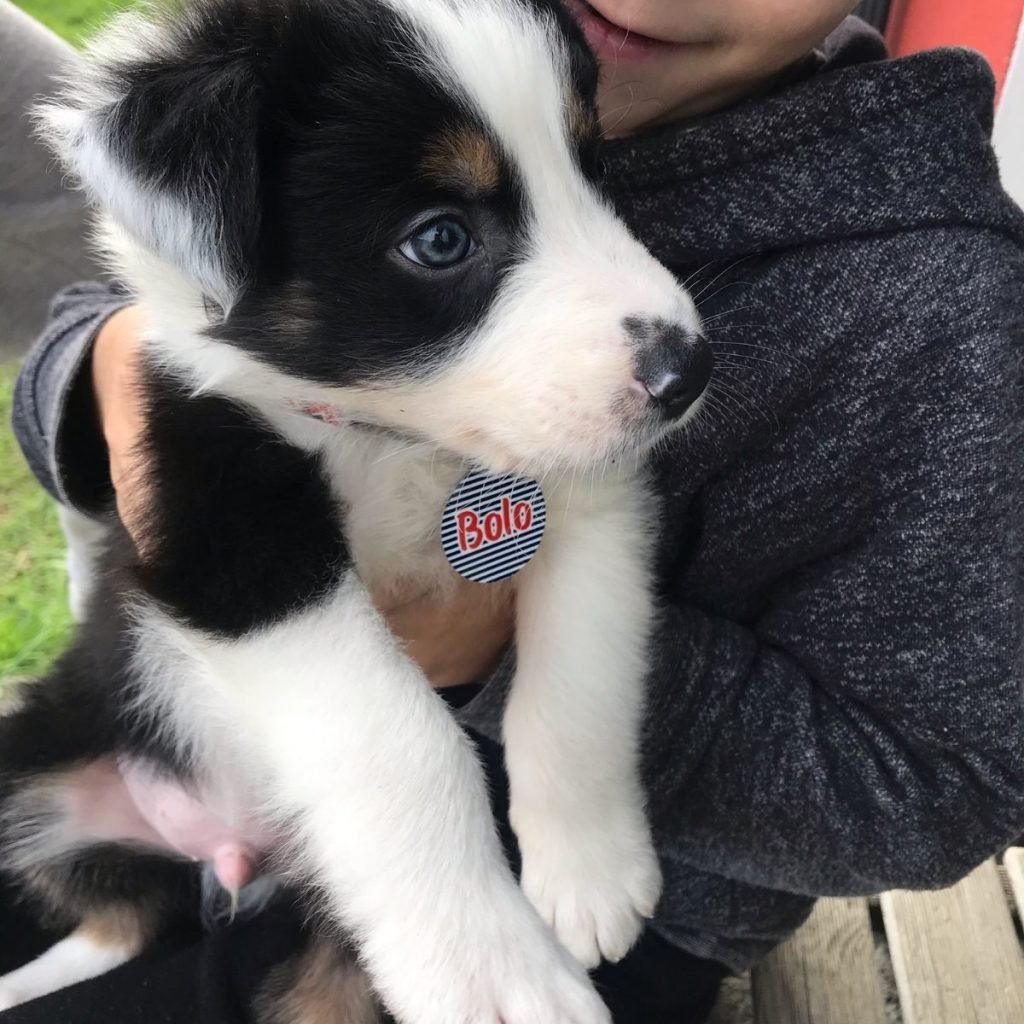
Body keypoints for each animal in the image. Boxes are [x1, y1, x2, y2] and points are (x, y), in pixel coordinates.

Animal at [2, 0, 712, 1019]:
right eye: (440, 239)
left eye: (595, 169)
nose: (686, 372)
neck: (393, 437)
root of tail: (222, 852)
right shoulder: (230, 531)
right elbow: (400, 739)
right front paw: (497, 977)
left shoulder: (589, 492)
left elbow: (582, 674)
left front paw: (589, 874)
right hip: (42, 754)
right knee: (108, 916)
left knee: (140, 924)